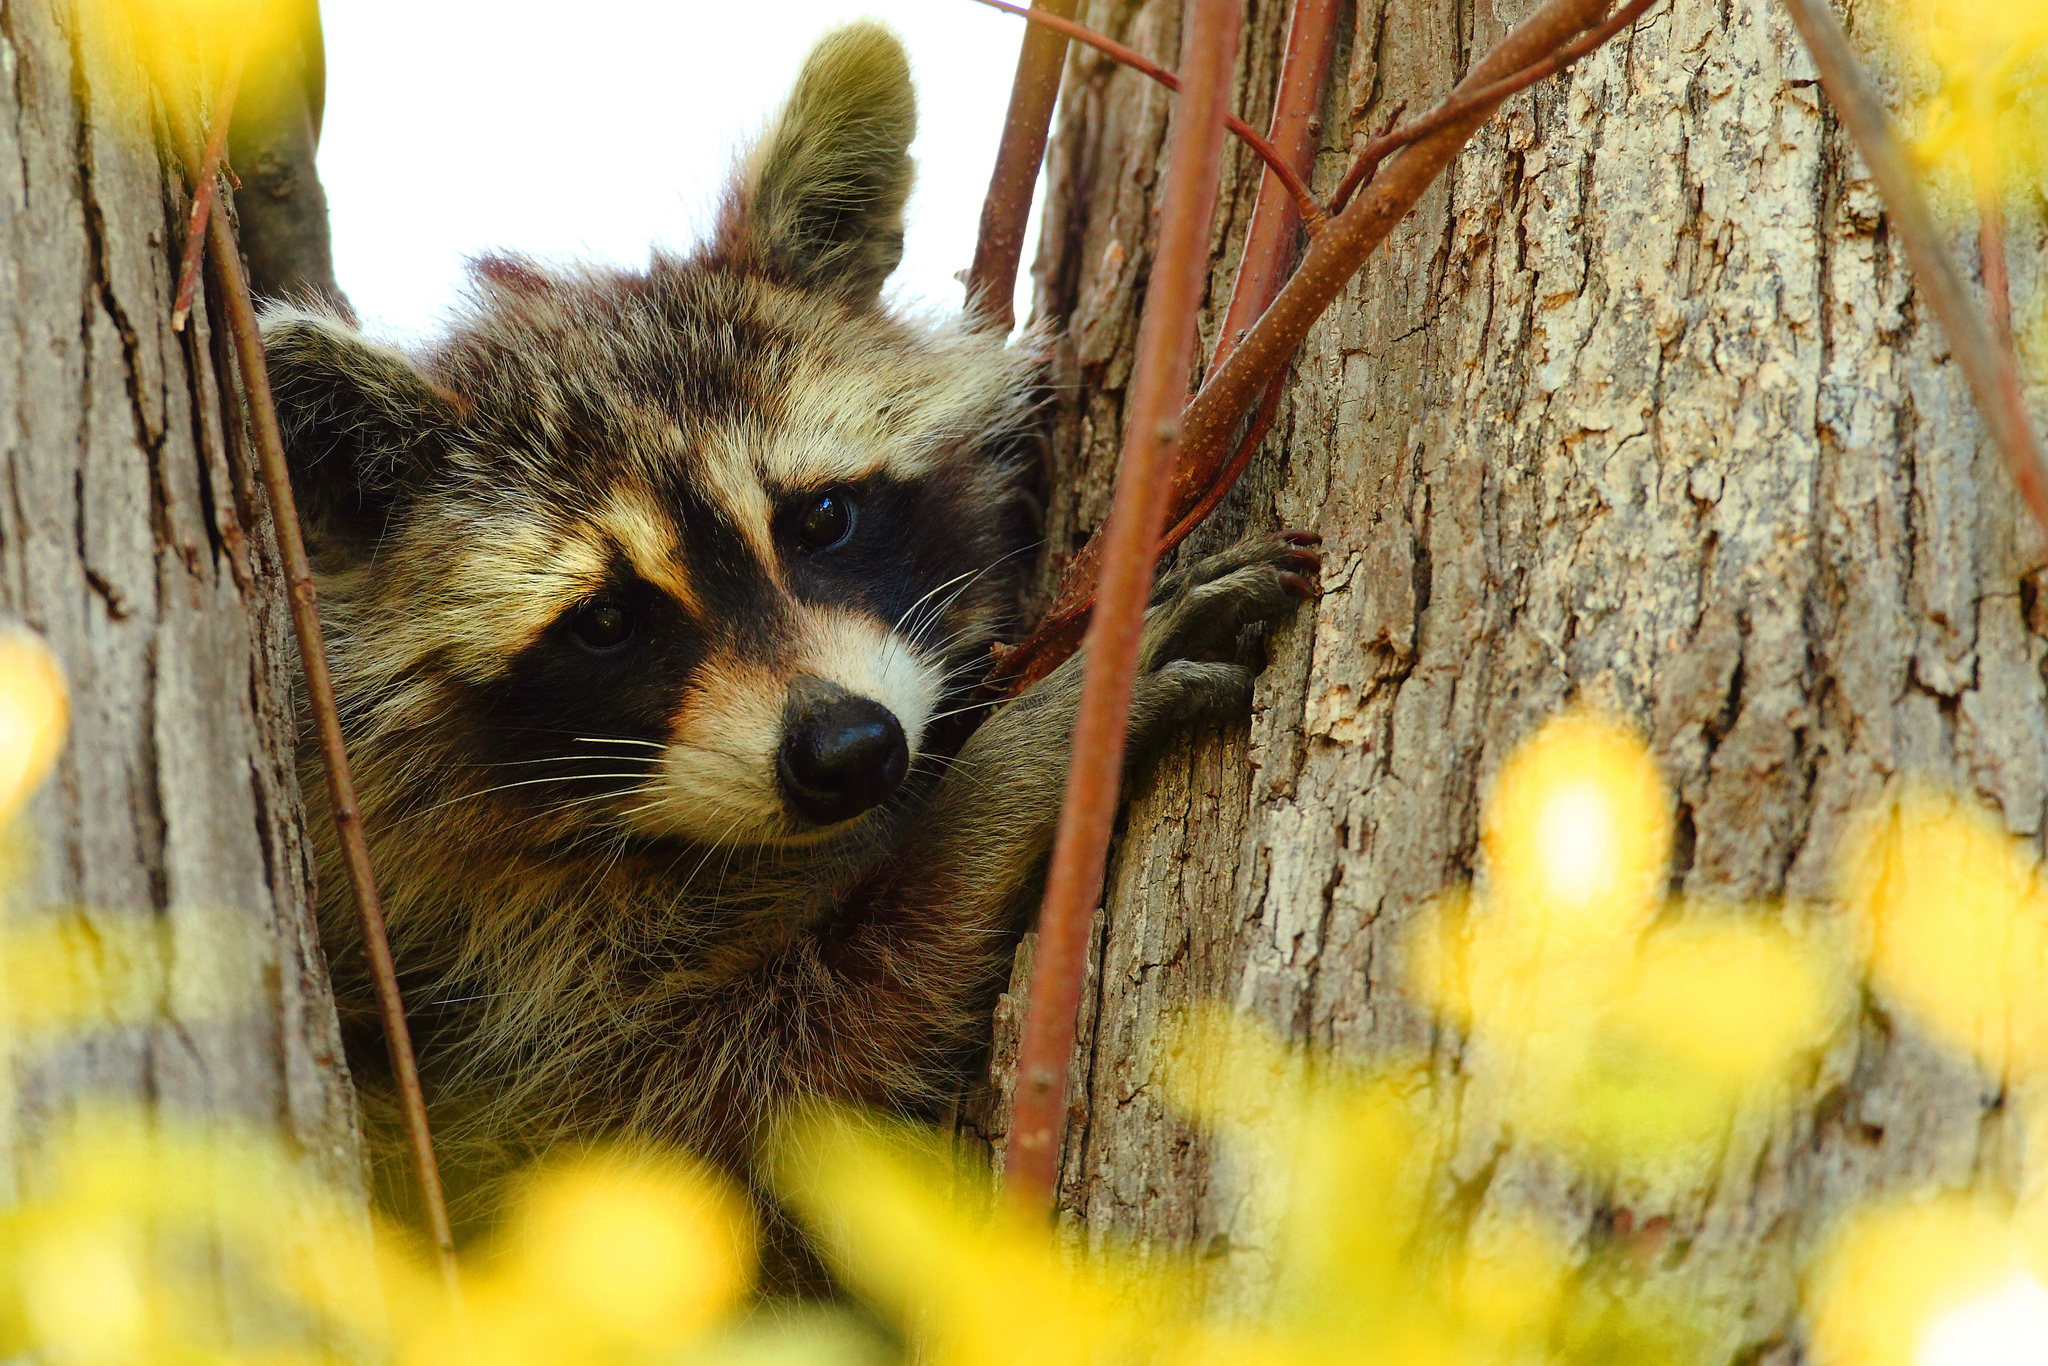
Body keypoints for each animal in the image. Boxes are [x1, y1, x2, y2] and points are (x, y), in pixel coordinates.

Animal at [260, 18, 1310, 1220]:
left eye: (820, 518)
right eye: (606, 622)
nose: (848, 752)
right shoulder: (470, 971)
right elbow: (724, 1094)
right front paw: (1002, 788)